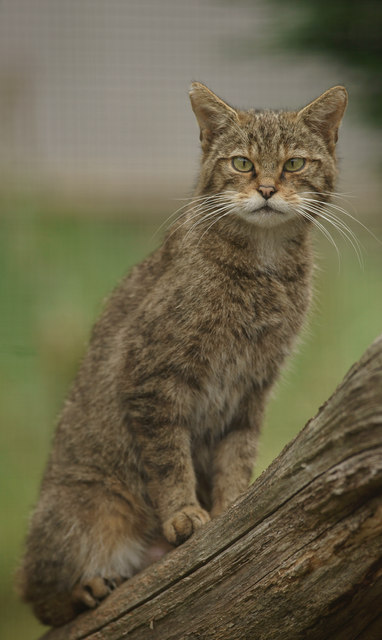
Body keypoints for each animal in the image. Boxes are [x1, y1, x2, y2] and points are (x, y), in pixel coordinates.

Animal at [17, 80, 346, 624]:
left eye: (294, 164)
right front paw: (184, 513)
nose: (267, 189)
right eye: (242, 163)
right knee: (39, 594)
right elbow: (170, 458)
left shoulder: (253, 387)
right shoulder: (152, 376)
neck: (265, 266)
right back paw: (86, 588)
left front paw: (232, 505)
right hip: (79, 512)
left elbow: (237, 453)